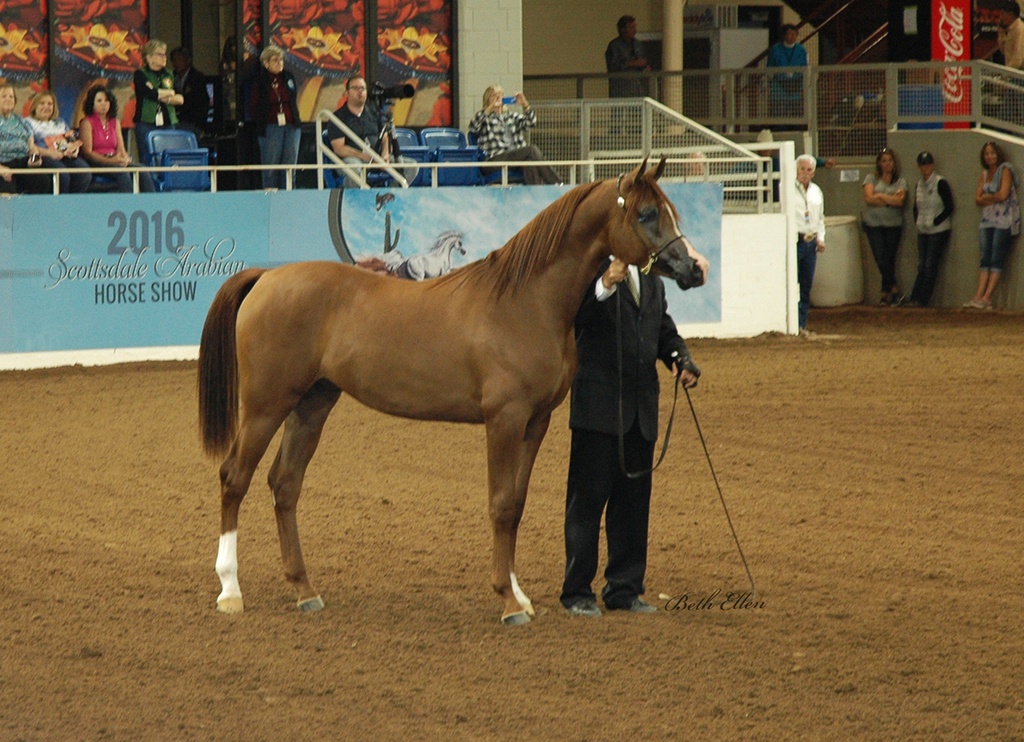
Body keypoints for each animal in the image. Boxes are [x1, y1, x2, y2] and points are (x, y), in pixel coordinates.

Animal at [198, 157, 710, 625]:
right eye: (646, 213)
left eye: (670, 212)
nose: (696, 268)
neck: (525, 301)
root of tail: (266, 277)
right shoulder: (504, 419)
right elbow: (500, 505)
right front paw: (508, 603)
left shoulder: (536, 421)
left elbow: (516, 505)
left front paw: (520, 596)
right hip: (265, 406)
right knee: (234, 478)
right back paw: (229, 591)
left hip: (312, 404)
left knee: (284, 484)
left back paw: (305, 590)